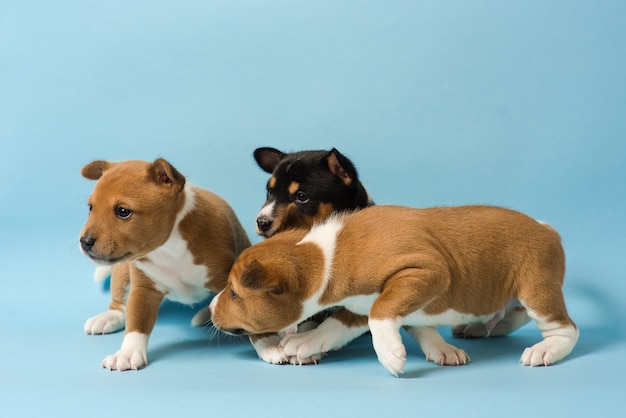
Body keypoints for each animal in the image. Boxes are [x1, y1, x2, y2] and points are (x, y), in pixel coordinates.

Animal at [79, 158, 250, 370]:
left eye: (123, 212)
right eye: (90, 207)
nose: (84, 241)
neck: (168, 250)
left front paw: (269, 346)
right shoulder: (144, 290)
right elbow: (136, 323)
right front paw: (127, 353)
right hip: (122, 272)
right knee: (120, 304)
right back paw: (109, 317)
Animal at [208, 205, 576, 376]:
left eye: (235, 293)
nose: (210, 310)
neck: (327, 254)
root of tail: (548, 229)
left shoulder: (427, 273)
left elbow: (380, 316)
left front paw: (390, 353)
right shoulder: (368, 301)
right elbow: (338, 324)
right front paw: (306, 341)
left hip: (536, 288)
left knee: (565, 328)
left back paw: (545, 350)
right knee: (514, 313)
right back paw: (486, 326)